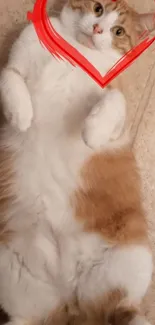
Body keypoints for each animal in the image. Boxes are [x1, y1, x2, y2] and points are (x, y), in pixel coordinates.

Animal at [0, 0, 154, 324]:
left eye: (118, 31)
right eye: (97, 8)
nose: (97, 29)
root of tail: (71, 305)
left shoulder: (117, 113)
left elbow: (115, 103)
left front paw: (92, 132)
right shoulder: (15, 63)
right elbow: (10, 78)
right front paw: (21, 115)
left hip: (132, 256)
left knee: (122, 311)